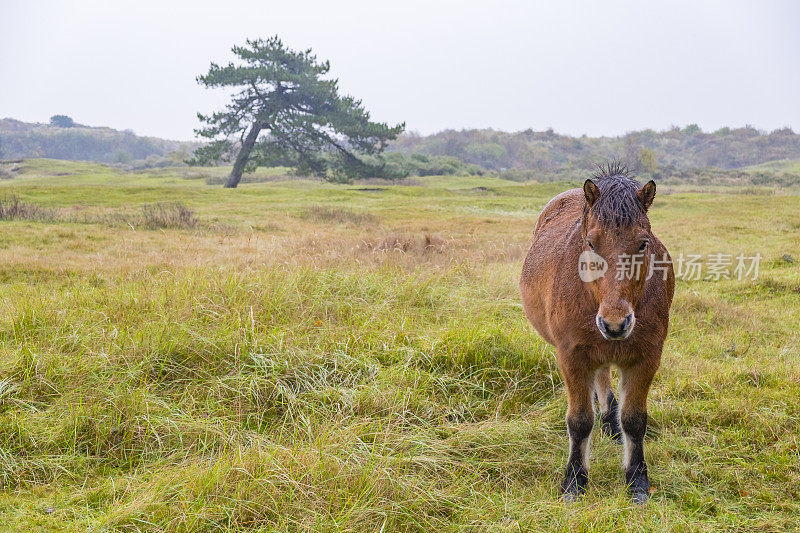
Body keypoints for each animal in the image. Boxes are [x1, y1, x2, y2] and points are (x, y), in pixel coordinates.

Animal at [520, 165, 672, 502]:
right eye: (590, 243)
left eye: (643, 243)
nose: (615, 324)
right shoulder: (573, 356)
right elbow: (579, 421)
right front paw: (574, 481)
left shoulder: (647, 358)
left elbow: (634, 420)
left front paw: (637, 480)